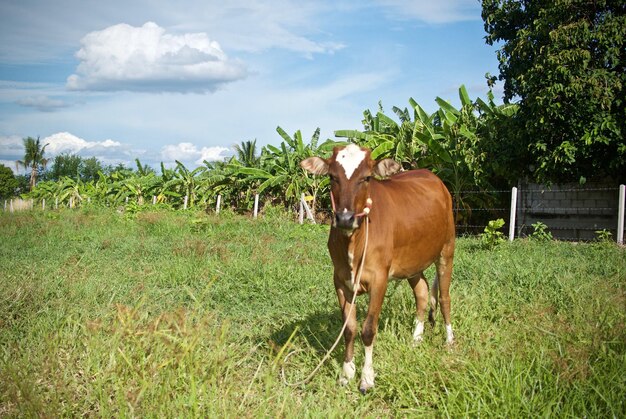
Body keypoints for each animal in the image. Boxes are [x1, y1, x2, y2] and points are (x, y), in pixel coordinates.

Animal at [298, 144, 454, 394]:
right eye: (332, 177)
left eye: (367, 177)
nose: (345, 218)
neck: (354, 242)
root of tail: (433, 176)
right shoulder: (340, 281)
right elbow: (349, 328)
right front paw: (346, 373)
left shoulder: (379, 279)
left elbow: (368, 329)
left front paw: (366, 378)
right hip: (412, 263)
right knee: (422, 293)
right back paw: (416, 339)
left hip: (447, 249)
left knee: (445, 297)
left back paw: (449, 341)